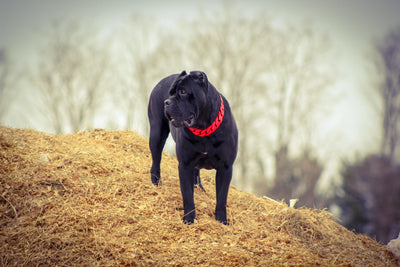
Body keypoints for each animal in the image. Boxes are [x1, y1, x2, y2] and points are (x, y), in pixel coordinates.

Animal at [148, 71, 239, 226]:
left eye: (183, 92)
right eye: (170, 93)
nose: (167, 102)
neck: (204, 128)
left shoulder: (225, 168)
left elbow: (221, 198)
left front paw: (221, 221)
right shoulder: (185, 165)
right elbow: (187, 196)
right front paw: (189, 220)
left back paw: (199, 188)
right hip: (156, 133)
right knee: (156, 161)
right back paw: (156, 183)